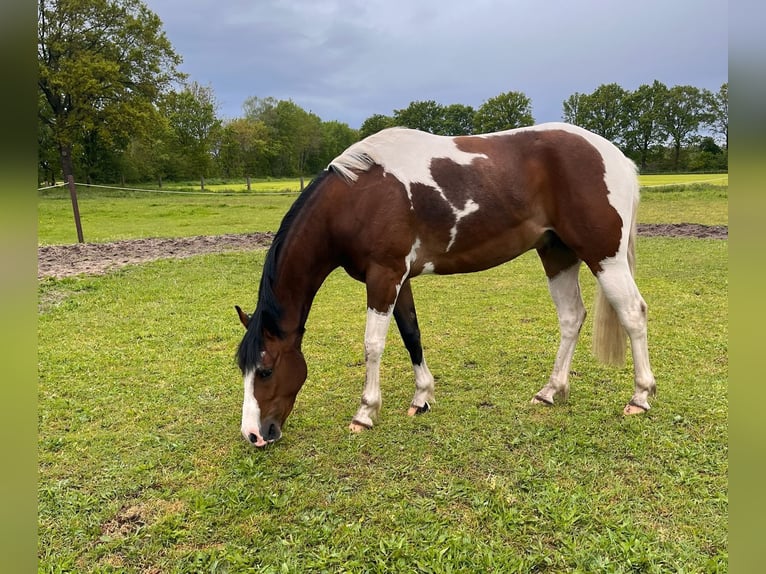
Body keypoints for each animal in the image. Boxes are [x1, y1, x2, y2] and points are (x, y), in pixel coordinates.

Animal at [235, 122, 656, 447]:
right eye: (244, 369)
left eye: (267, 369)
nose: (254, 435)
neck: (356, 198)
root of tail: (615, 156)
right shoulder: (399, 280)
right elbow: (411, 334)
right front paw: (422, 397)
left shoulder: (384, 276)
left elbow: (373, 344)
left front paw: (365, 412)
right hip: (557, 254)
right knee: (571, 317)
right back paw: (550, 392)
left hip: (604, 257)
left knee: (633, 313)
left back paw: (640, 397)